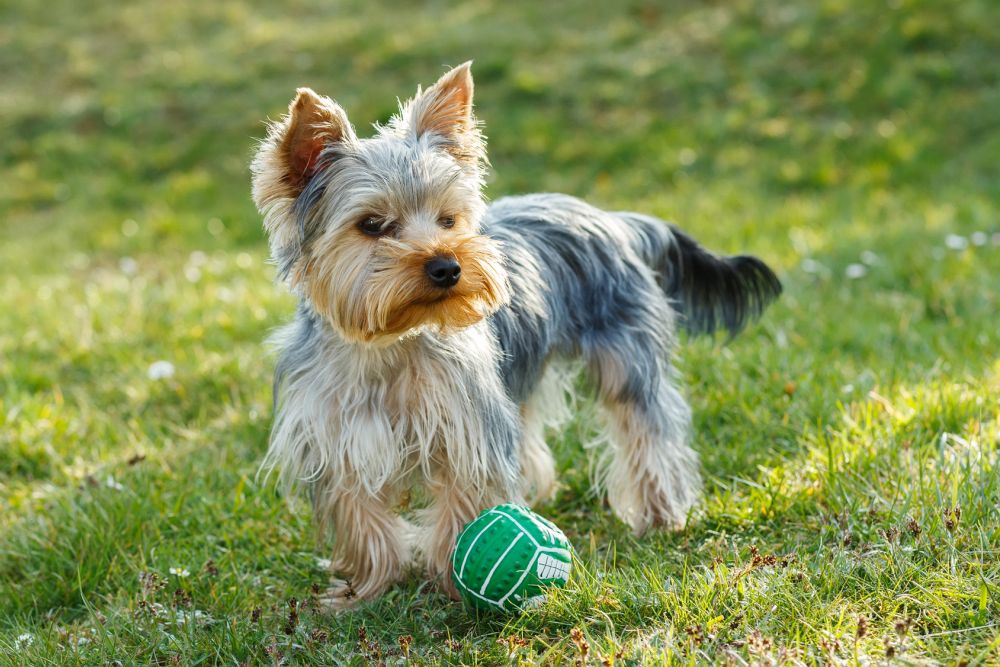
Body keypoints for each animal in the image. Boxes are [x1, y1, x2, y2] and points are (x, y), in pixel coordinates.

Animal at [250, 62, 780, 612]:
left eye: (448, 219)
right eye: (372, 224)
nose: (447, 266)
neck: (392, 342)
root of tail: (614, 219)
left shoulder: (466, 427)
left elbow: (464, 500)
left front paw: (453, 586)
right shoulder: (339, 435)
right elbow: (361, 517)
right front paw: (366, 590)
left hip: (627, 357)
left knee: (646, 426)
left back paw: (660, 515)